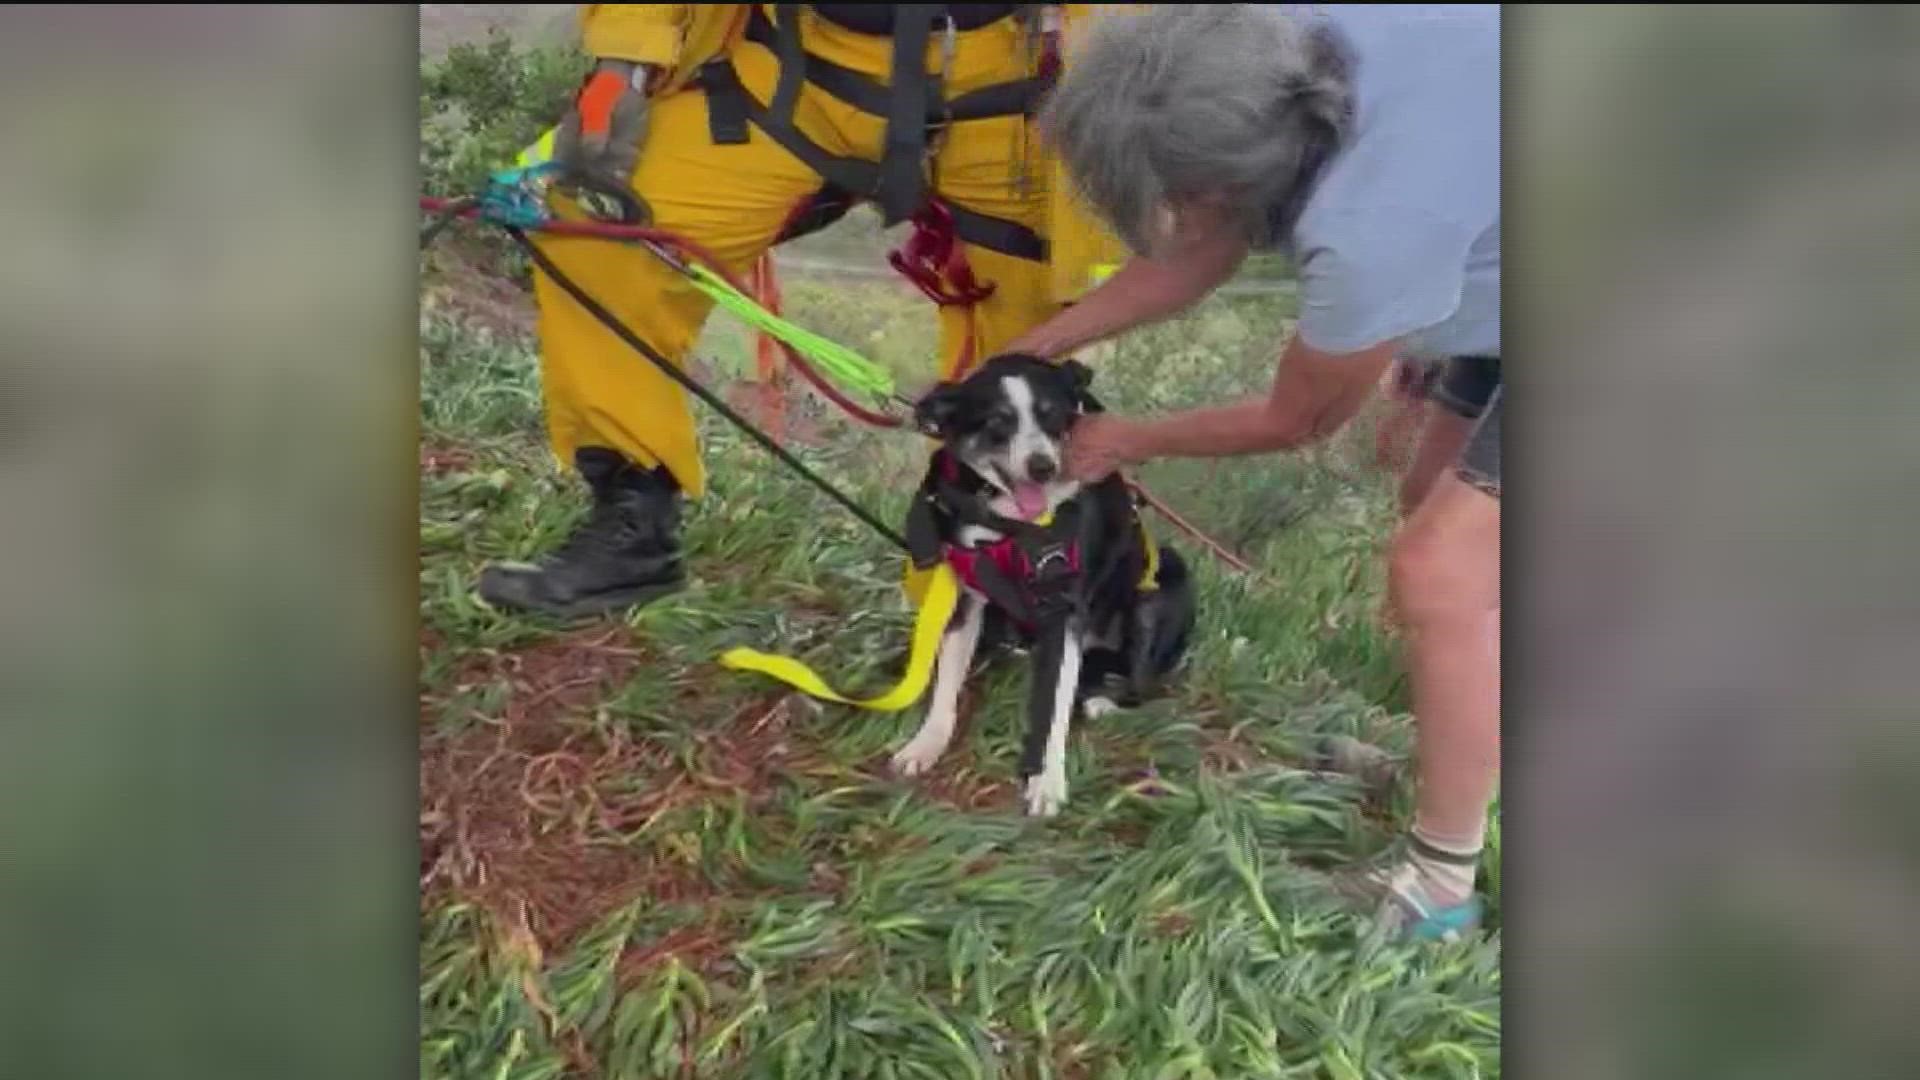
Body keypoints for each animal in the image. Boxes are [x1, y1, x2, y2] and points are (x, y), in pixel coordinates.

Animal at [887, 353, 1190, 814]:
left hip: (1162, 586)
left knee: (1141, 686)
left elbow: (1054, 708)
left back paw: (1104, 700)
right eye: (998, 421)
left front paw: (1046, 783)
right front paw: (926, 745)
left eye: (1052, 416)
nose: (1042, 467)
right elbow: (945, 686)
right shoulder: (967, 597)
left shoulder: (1065, 612)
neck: (1013, 525)